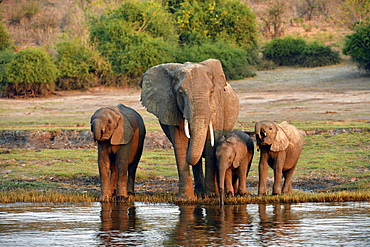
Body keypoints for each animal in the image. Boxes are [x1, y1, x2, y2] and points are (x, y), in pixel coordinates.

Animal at [139, 58, 240, 200]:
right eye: (181, 93)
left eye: (211, 92)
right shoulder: (171, 107)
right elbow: (180, 144)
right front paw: (185, 199)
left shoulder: (217, 106)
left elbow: (210, 145)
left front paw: (211, 196)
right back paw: (199, 193)